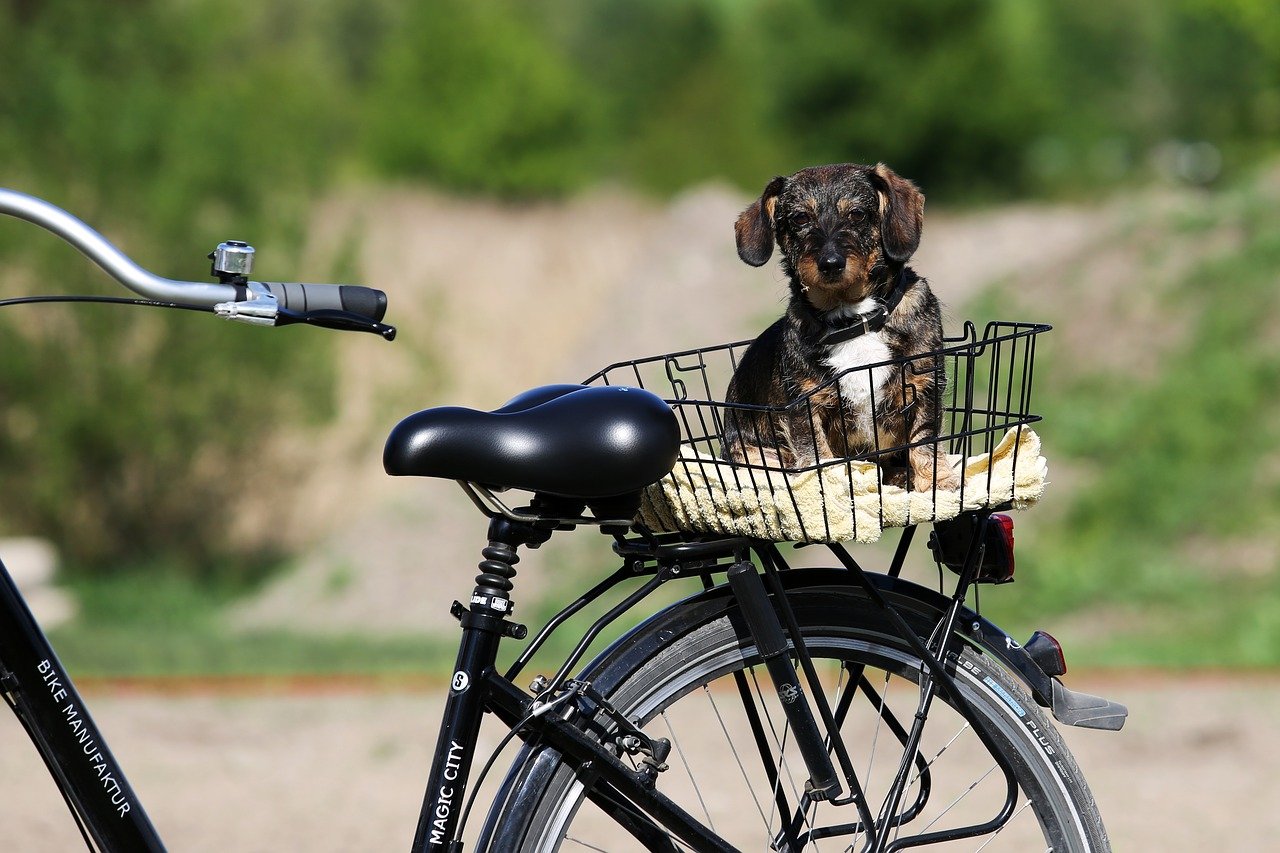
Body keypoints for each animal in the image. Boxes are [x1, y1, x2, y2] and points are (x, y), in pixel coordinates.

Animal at [721, 162, 962, 489]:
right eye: (800, 217)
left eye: (857, 214)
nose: (831, 263)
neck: (853, 319)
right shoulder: (805, 403)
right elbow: (817, 457)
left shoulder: (923, 387)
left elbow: (924, 443)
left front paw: (937, 484)